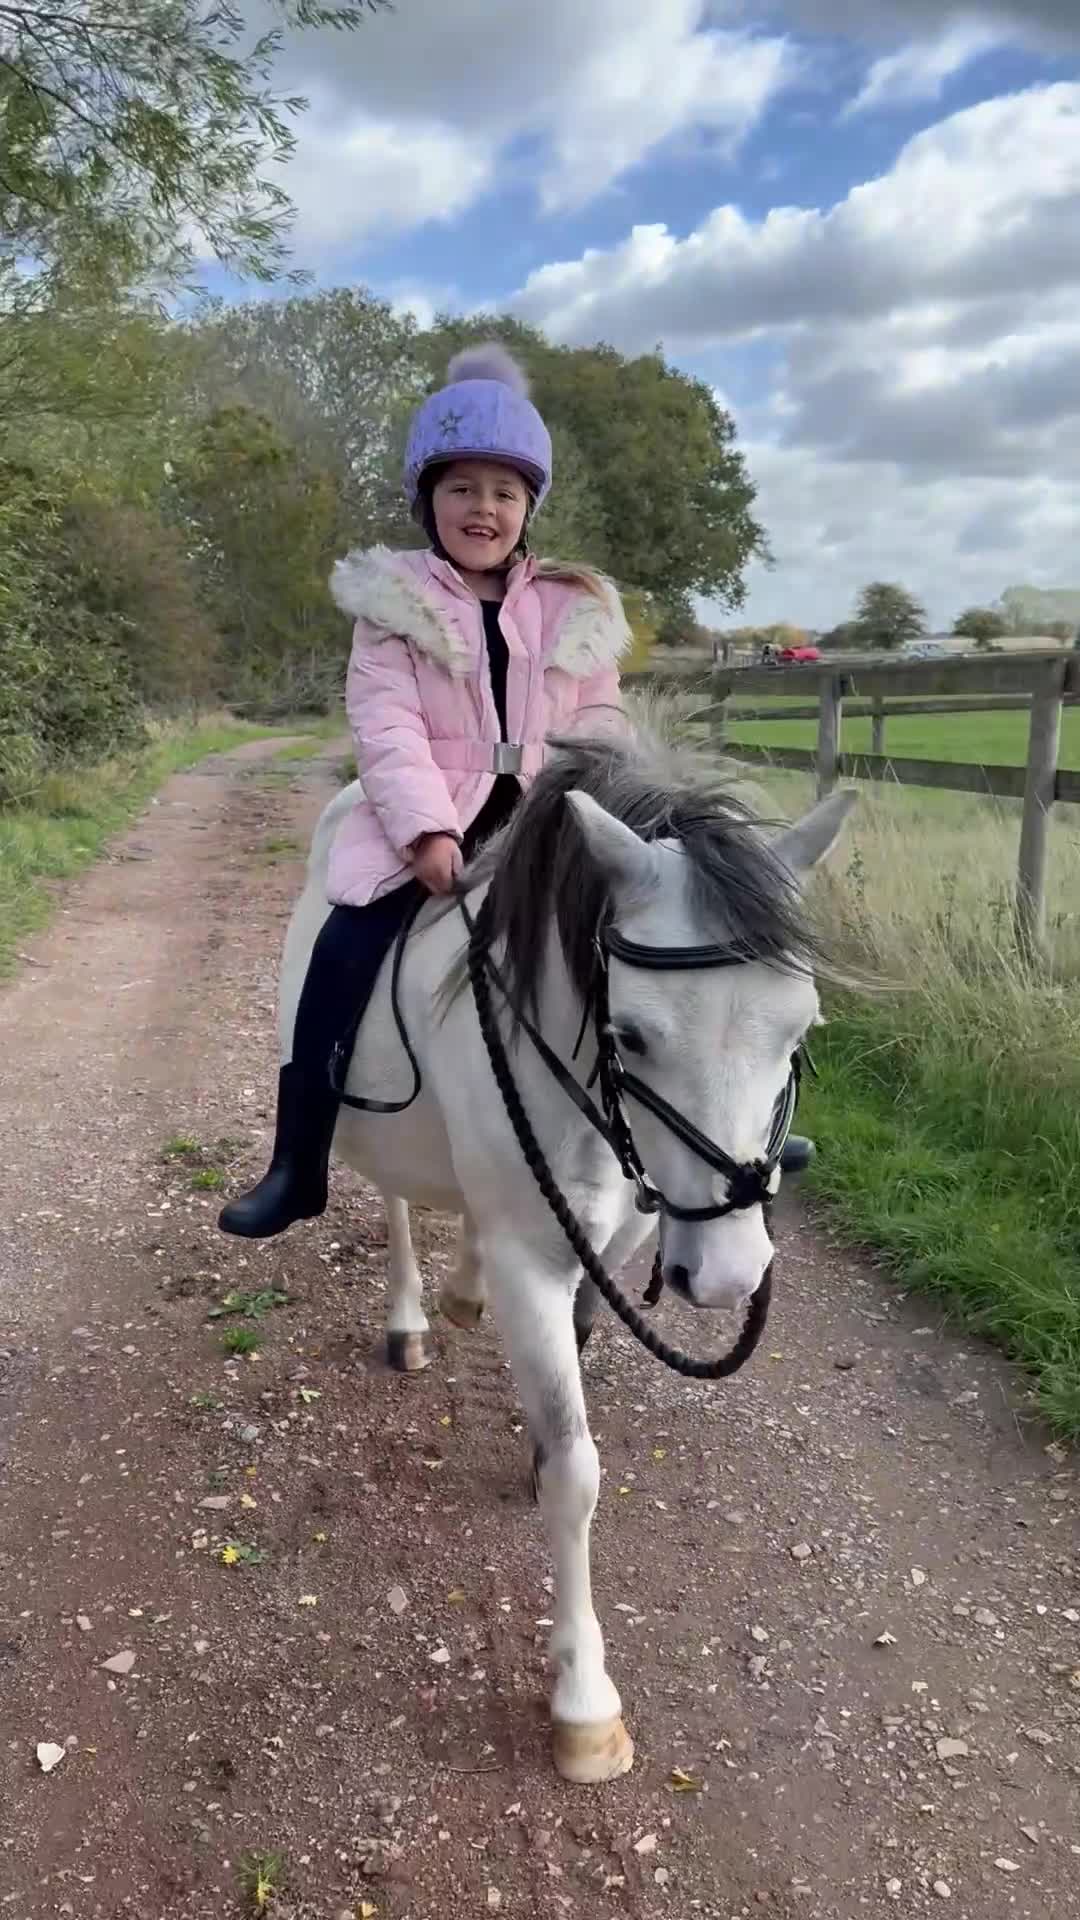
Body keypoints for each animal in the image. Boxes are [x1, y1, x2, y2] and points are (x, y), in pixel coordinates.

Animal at [277, 732, 853, 1783]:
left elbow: (572, 1380)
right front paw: (585, 1703)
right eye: (632, 1035)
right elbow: (577, 1468)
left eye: (802, 1030)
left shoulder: (609, 1243)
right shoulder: (533, 1266)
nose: (728, 1275)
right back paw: (411, 1317)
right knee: (397, 1201)